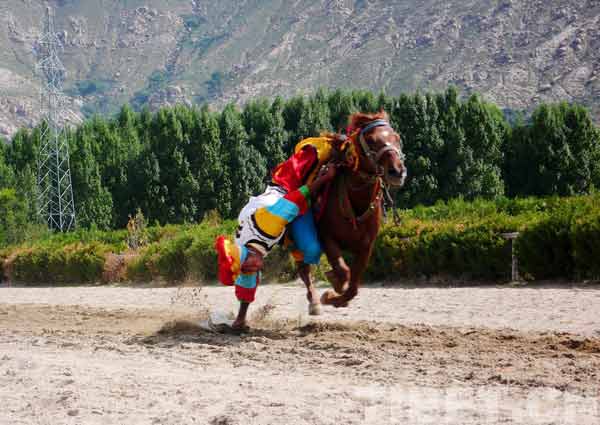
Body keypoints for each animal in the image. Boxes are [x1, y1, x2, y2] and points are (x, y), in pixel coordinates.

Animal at [296, 111, 406, 314]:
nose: (396, 171)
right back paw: (314, 301)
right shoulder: (326, 237)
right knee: (304, 268)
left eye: (397, 137)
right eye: (371, 140)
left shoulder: (366, 245)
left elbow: (354, 285)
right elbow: (343, 271)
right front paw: (331, 291)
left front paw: (338, 298)